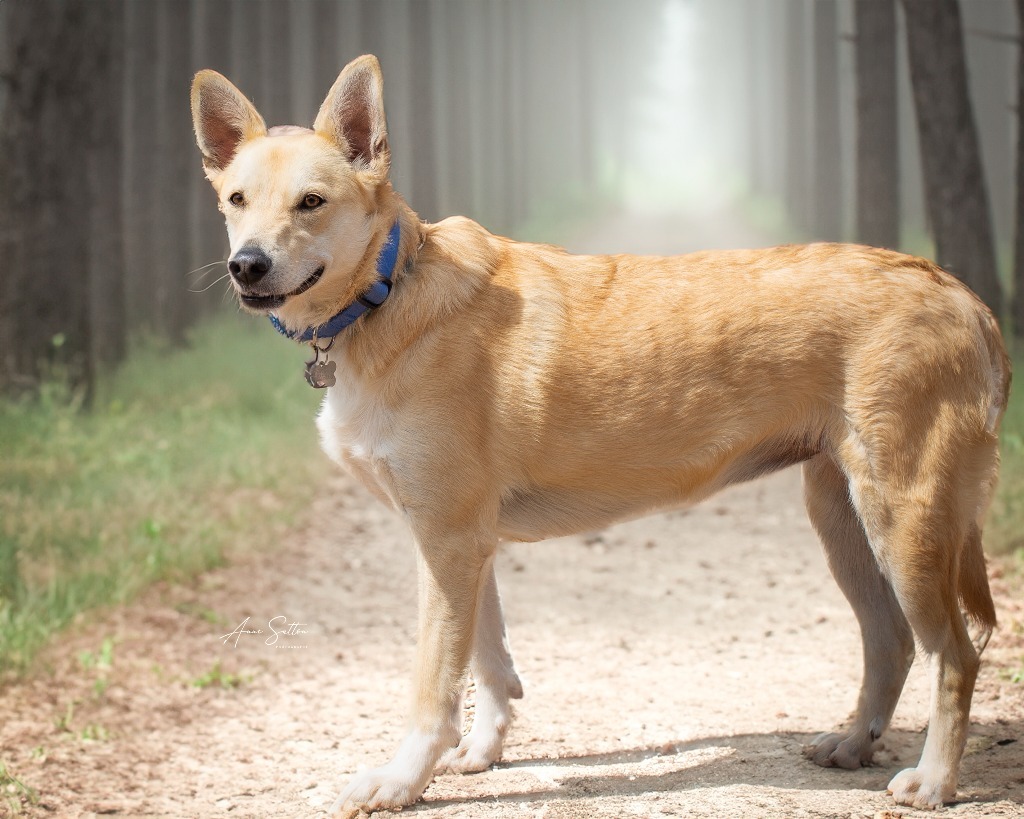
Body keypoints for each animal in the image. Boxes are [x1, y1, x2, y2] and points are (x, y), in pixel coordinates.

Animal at [190, 56, 1007, 810]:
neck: (391, 291)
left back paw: (934, 780)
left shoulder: (447, 539)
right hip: (841, 518)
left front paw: (401, 779)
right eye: (235, 200)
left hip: (904, 520)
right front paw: (482, 751)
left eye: (312, 202)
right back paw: (853, 741)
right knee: (892, 641)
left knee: (956, 655)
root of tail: (958, 291)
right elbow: (489, 660)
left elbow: (434, 684)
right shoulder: (467, 541)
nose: (245, 265)